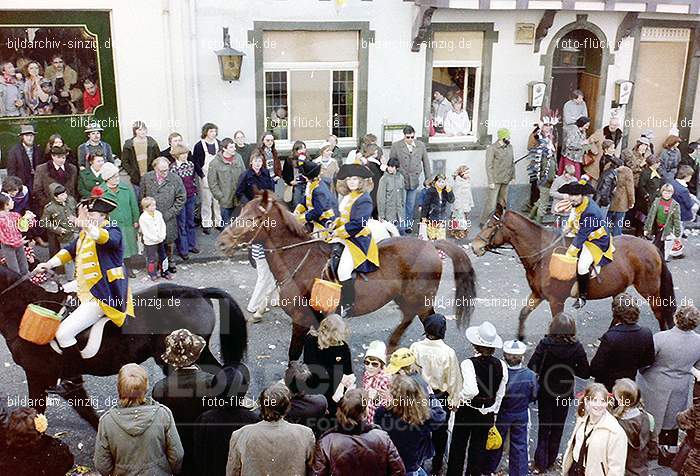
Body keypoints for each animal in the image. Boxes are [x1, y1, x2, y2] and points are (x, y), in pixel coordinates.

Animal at [0, 268, 247, 428]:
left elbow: (38, 412)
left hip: (193, 355)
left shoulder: (37, 376)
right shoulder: (64, 379)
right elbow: (86, 413)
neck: (24, 312)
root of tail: (198, 292)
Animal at [219, 190, 476, 360]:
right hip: (405, 298)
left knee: (426, 320)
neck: (299, 259)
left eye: (252, 218)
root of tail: (431, 245)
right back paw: (393, 346)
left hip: (419, 299)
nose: (222, 242)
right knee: (409, 317)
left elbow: (293, 356)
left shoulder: (301, 320)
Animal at [468, 206, 676, 340]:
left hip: (649, 290)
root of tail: (651, 246)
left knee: (659, 311)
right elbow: (523, 314)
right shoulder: (537, 294)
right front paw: (519, 338)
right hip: (620, 288)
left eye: (491, 226)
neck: (543, 254)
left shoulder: (556, 300)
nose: (474, 246)